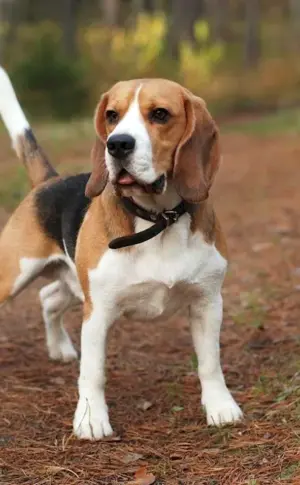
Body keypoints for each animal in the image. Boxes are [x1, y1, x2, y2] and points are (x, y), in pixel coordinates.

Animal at [0, 66, 243, 440]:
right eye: (112, 116)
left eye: (160, 114)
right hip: (18, 275)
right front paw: (91, 420)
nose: (116, 144)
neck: (158, 219)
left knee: (48, 297)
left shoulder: (208, 302)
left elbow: (210, 363)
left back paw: (60, 349)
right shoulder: (98, 312)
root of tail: (49, 181)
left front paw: (220, 407)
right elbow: (94, 372)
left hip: (74, 283)